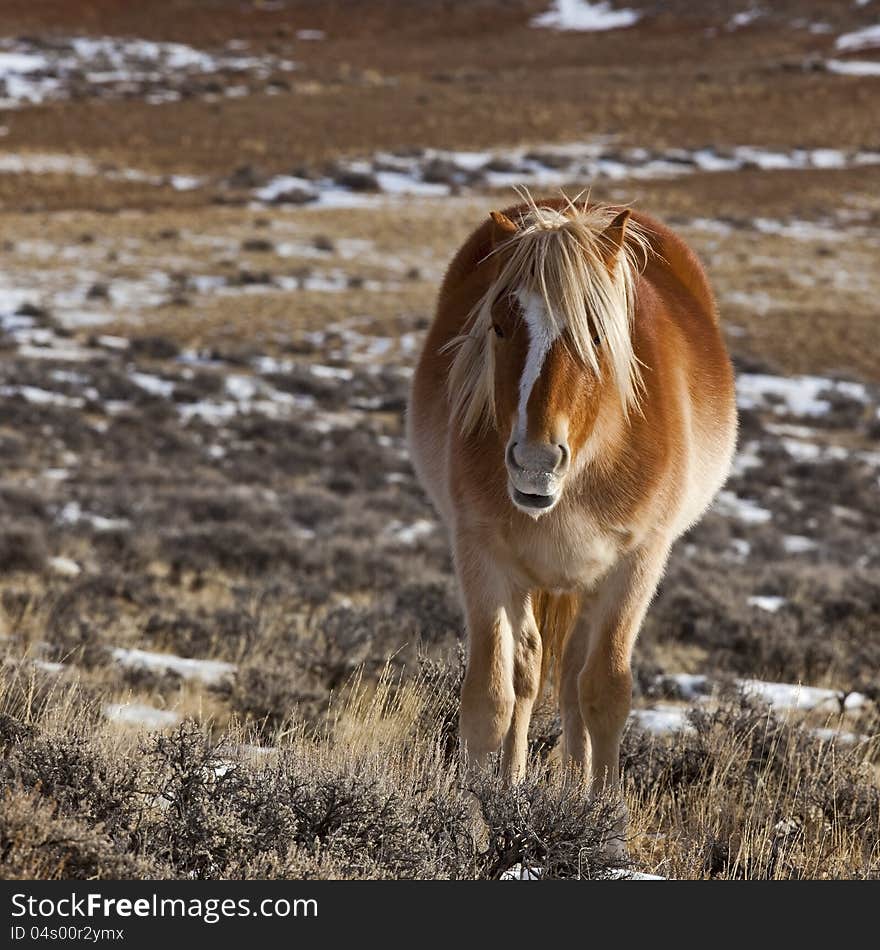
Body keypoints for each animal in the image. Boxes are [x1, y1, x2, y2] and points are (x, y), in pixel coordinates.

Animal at [410, 192, 740, 824]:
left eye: (595, 332)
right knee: (530, 672)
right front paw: (473, 816)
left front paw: (604, 822)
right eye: (499, 325)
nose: (534, 463)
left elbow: (605, 693)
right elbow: (490, 696)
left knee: (572, 681)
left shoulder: (636, 564)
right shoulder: (481, 556)